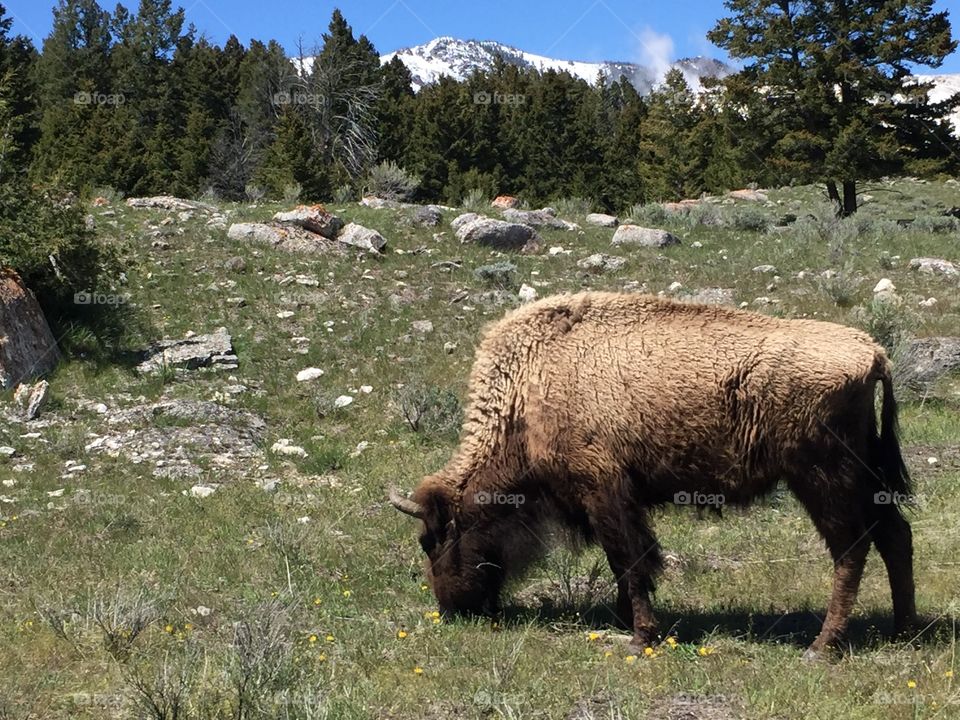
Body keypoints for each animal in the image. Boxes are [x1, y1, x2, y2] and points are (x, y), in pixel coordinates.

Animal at [388, 292, 916, 660]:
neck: (527, 391)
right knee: (894, 534)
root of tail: (873, 352)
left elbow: (629, 560)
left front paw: (640, 636)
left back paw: (822, 647)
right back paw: (904, 631)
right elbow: (629, 561)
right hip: (861, 478)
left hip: (823, 480)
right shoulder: (616, 499)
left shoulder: (603, 491)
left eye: (433, 541)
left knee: (851, 549)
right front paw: (629, 622)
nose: (452, 609)